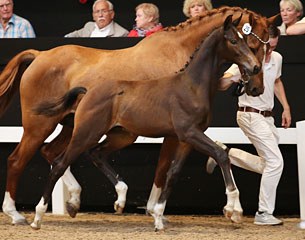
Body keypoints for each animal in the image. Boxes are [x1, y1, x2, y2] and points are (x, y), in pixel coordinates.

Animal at [0, 7, 274, 225]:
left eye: (265, 47)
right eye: (252, 45)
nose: (256, 86)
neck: (180, 56)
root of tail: (39, 55)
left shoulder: (183, 134)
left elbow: (176, 168)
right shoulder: (178, 133)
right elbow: (164, 169)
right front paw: (156, 211)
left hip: (76, 126)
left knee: (52, 153)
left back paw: (74, 201)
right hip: (40, 125)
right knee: (17, 160)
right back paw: (16, 213)